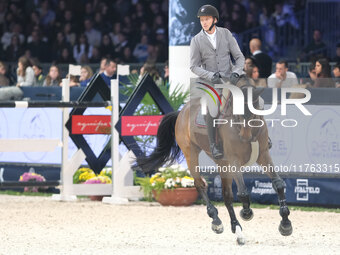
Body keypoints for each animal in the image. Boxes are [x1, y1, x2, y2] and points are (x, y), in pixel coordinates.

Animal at [137, 77, 294, 245]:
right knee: (200, 184)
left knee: (226, 195)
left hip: (222, 164)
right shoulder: (234, 160)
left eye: (254, 111)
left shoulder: (263, 155)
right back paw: (216, 221)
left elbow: (278, 184)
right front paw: (246, 212)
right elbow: (243, 191)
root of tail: (182, 111)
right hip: (191, 153)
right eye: (237, 112)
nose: (245, 137)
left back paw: (237, 230)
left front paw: (285, 224)